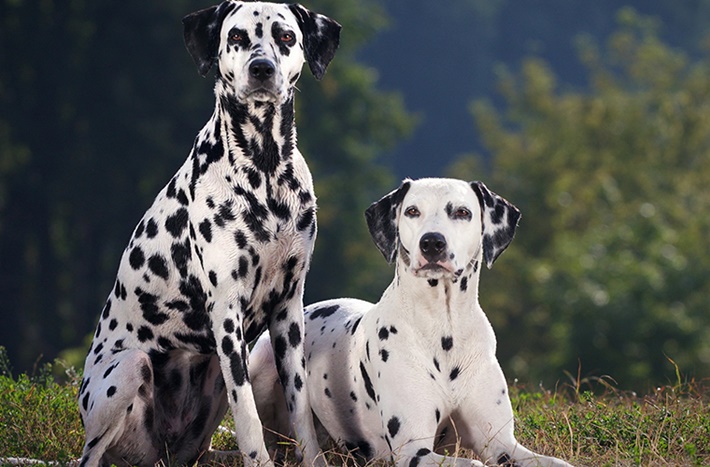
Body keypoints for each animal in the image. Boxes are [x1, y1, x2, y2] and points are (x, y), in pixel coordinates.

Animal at [78, 3, 342, 467]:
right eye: (236, 36)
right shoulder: (226, 314)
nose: (261, 68)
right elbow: (248, 415)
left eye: (286, 37)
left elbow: (301, 408)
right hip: (129, 369)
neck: (265, 169)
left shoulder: (289, 310)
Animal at [253, 177, 576, 466]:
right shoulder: (413, 450)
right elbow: (473, 463)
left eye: (462, 212)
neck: (444, 329)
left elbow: (556, 462)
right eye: (411, 211)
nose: (432, 242)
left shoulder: (502, 444)